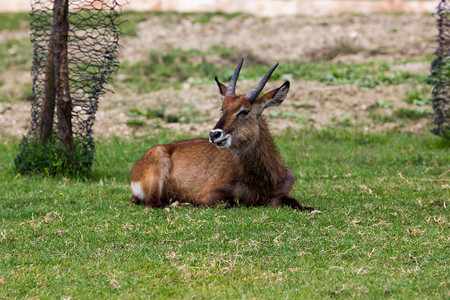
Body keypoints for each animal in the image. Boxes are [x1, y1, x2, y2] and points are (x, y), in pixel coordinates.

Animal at [128, 59, 314, 211]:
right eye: (222, 109)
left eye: (244, 111)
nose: (214, 134)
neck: (263, 180)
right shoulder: (210, 194)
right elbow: (230, 202)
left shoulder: (280, 193)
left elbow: (293, 202)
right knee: (152, 203)